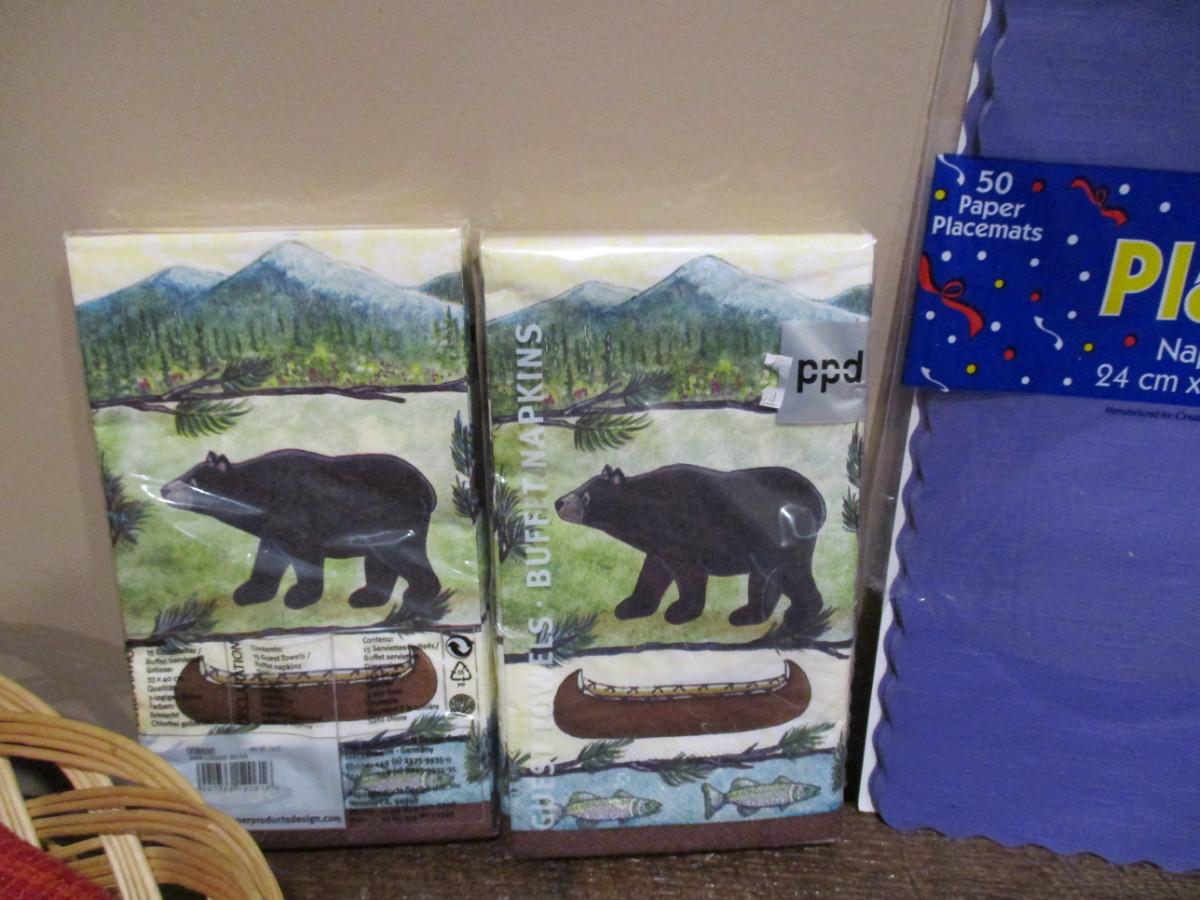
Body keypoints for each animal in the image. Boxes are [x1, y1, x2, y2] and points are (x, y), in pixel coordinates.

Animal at [162, 450, 440, 611]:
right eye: (187, 473)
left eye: (193, 480)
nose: (164, 489)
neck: (259, 493)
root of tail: (428, 489)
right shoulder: (273, 529)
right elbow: (269, 556)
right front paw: (250, 592)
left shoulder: (298, 517)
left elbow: (307, 556)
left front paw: (299, 596)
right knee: (379, 564)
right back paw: (366, 597)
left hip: (395, 521)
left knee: (405, 557)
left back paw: (419, 596)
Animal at [555, 463, 826, 627]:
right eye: (580, 486)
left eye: (586, 497)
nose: (559, 502)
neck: (647, 506)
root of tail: (817, 501)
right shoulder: (658, 544)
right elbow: (652, 573)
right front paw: (630, 607)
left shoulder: (684, 535)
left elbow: (690, 575)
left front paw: (679, 611)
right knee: (767, 579)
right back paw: (748, 614)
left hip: (781, 541)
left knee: (792, 574)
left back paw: (800, 614)